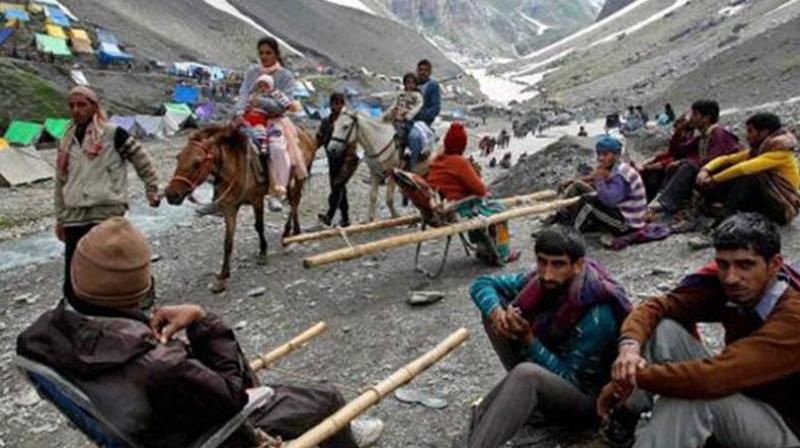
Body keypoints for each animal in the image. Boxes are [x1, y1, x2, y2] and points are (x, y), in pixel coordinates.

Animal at [166, 126, 318, 294]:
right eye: (178, 158)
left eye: (197, 163)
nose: (171, 195)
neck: (235, 169)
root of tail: (304, 132)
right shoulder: (230, 207)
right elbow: (228, 241)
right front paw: (223, 276)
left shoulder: (257, 200)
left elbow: (259, 226)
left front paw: (263, 253)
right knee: (293, 202)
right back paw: (294, 231)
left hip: (298, 177)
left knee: (295, 202)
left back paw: (287, 233)